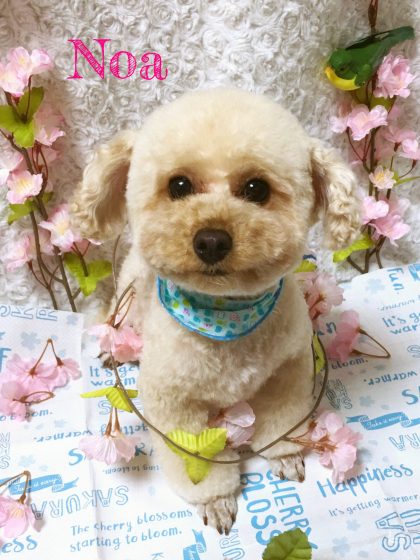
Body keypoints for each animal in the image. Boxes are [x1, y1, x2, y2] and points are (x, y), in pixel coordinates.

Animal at [72, 88, 360, 534]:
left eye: (256, 188)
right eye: (179, 185)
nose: (211, 240)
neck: (225, 317)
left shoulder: (289, 370)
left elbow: (282, 418)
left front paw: (285, 453)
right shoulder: (175, 403)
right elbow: (197, 461)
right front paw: (217, 499)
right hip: (130, 293)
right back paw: (112, 347)